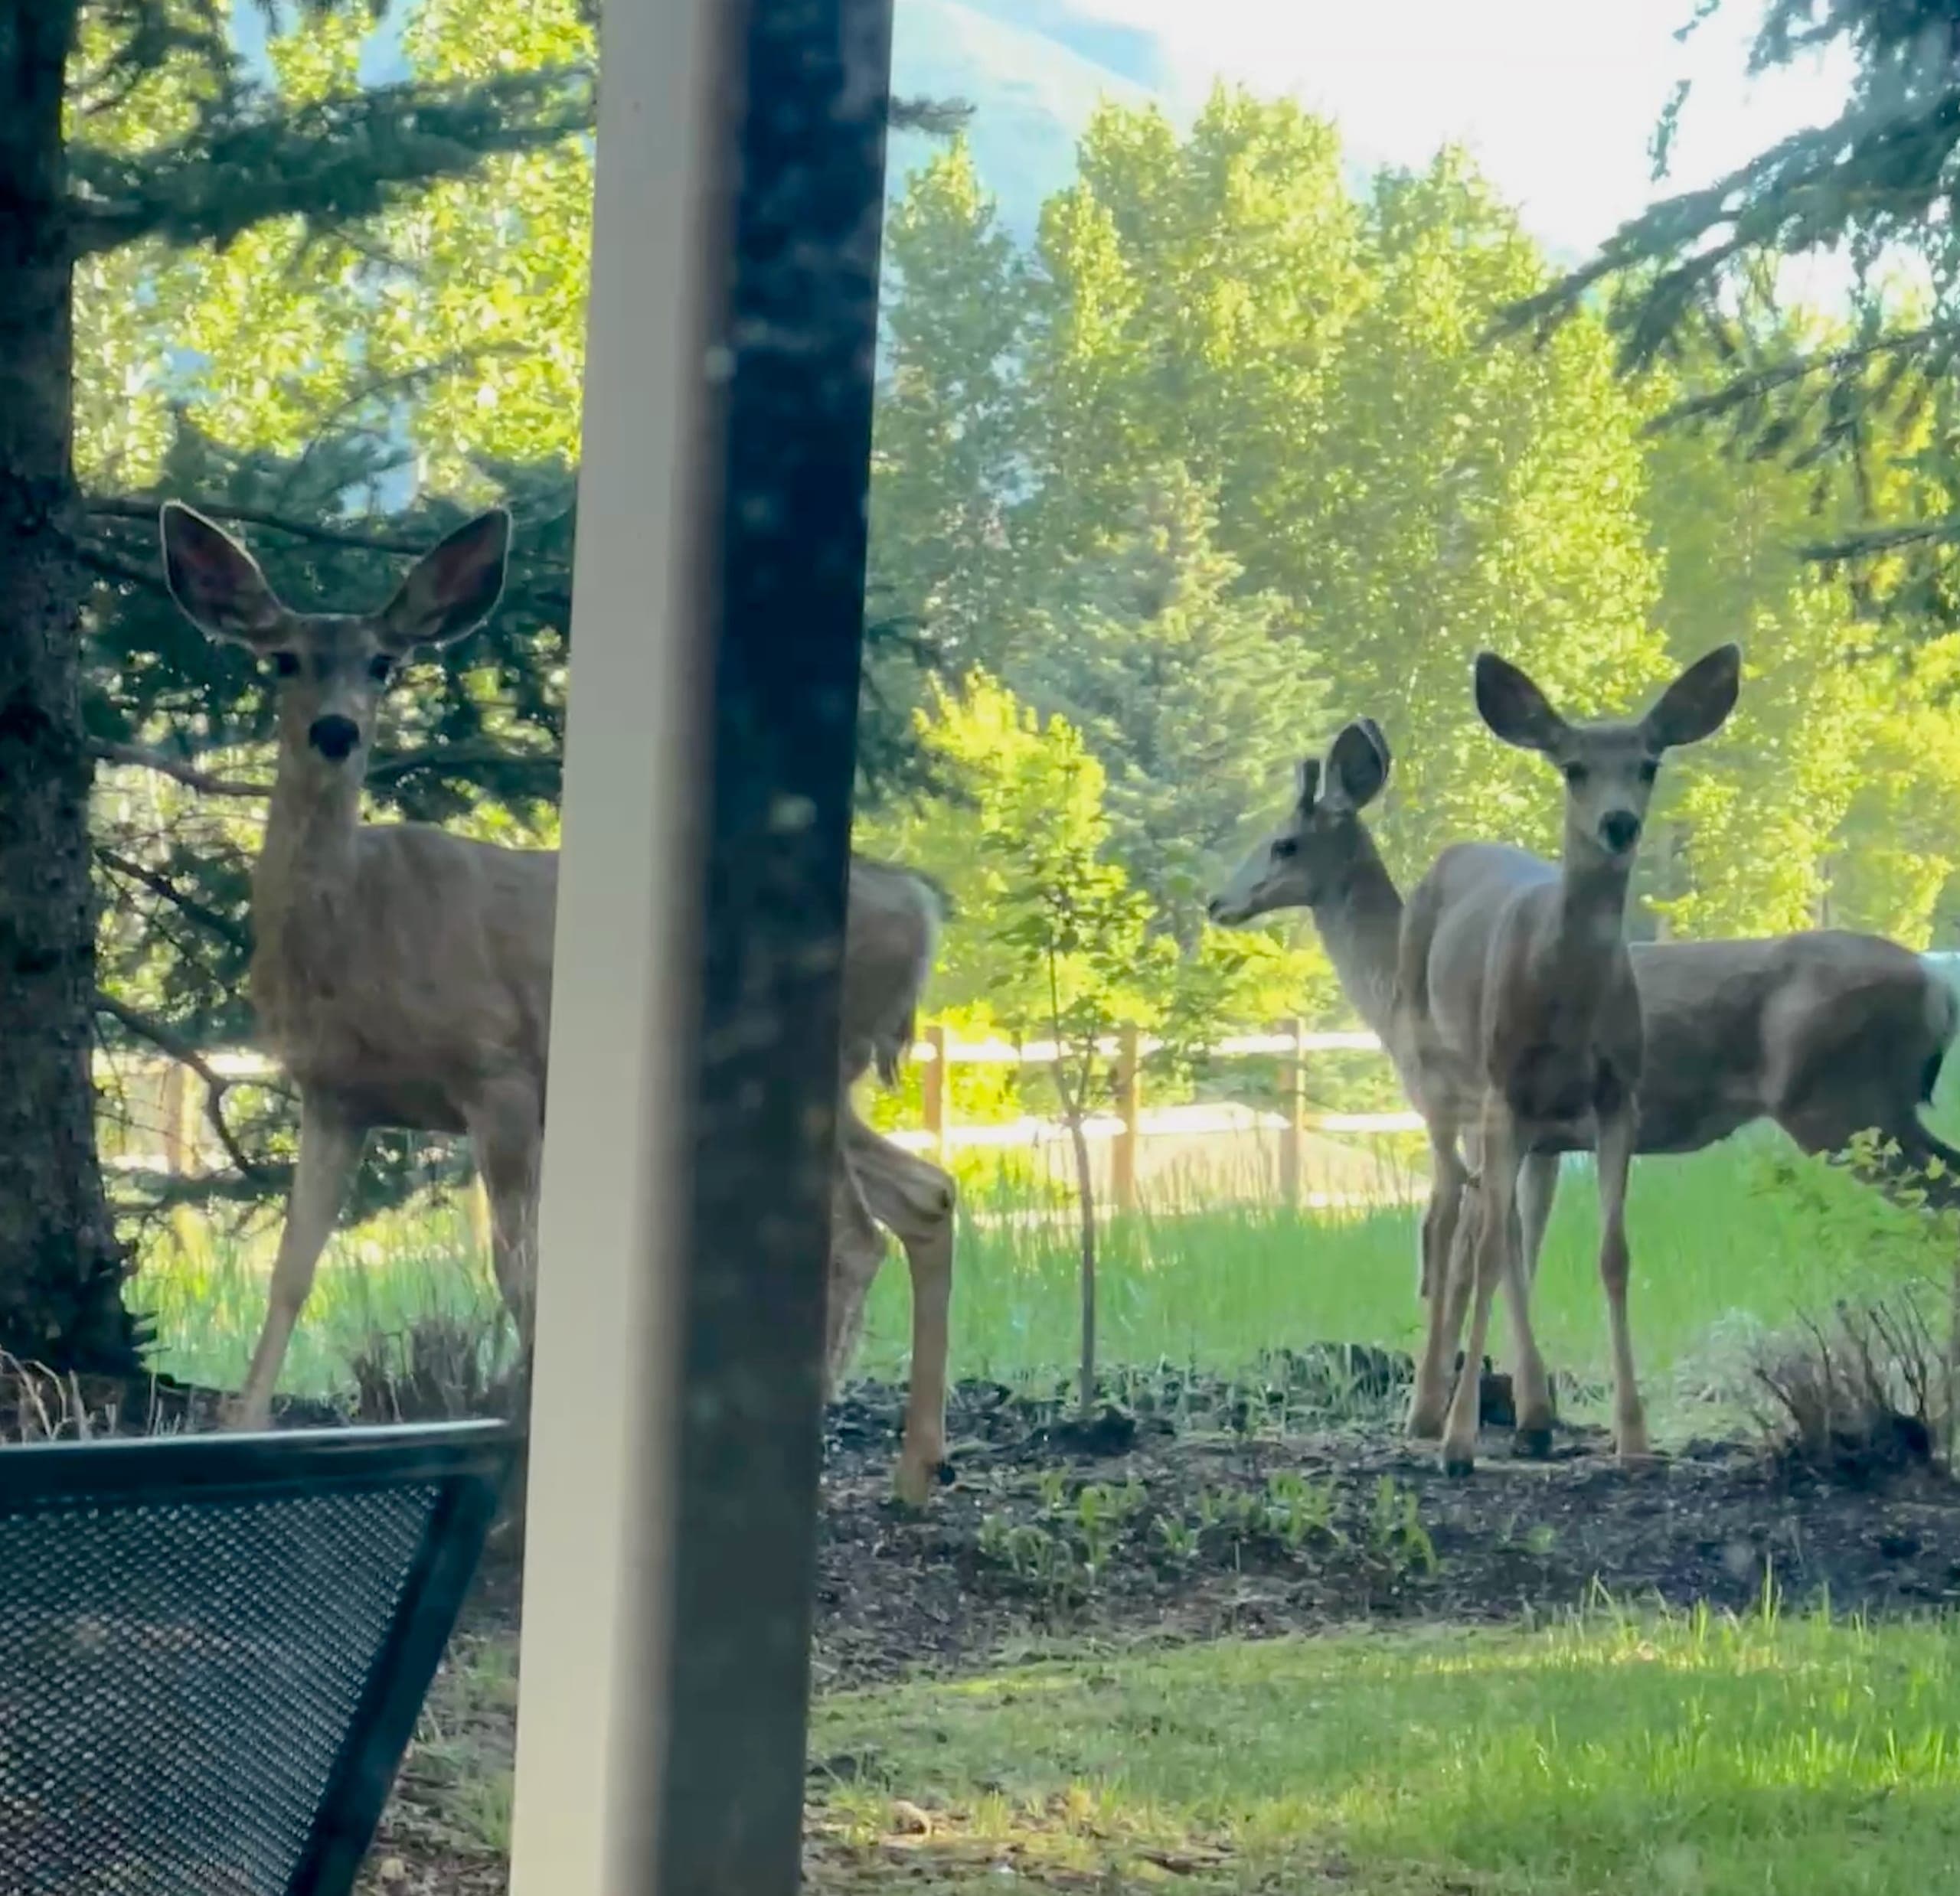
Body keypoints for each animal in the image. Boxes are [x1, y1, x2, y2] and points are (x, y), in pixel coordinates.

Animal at [158, 502, 957, 1504]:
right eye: (283, 659)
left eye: (383, 662)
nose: (337, 731)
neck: (353, 932)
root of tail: (921, 907)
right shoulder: (334, 1093)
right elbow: (293, 1267)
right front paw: (246, 1430)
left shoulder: (495, 1068)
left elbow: (518, 1269)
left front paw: (528, 1437)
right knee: (926, 1193)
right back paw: (914, 1466)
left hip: (808, 1066)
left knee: (856, 1232)